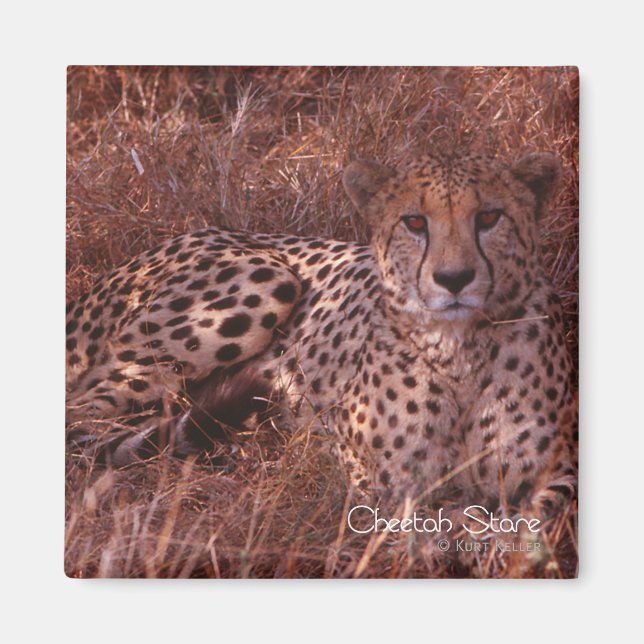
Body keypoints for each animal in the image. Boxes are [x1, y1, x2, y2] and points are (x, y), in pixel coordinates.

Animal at [66, 150, 577, 510]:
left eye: (489, 217)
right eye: (414, 222)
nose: (454, 279)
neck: (459, 351)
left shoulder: (558, 474)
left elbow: (532, 522)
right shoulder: (373, 475)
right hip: (266, 280)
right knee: (82, 418)